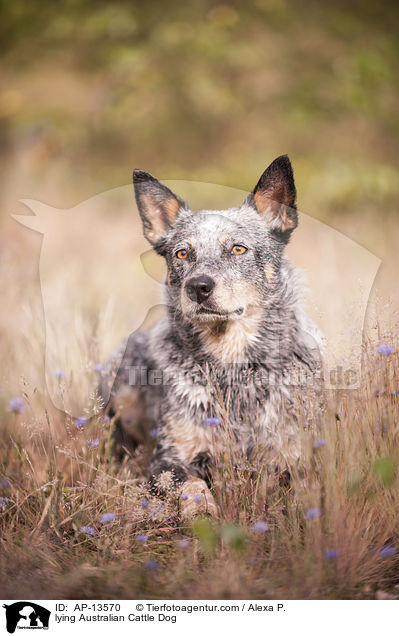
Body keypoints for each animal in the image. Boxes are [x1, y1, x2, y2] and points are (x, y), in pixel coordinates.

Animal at [101, 154, 324, 516]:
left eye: (238, 249)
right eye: (182, 253)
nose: (198, 287)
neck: (231, 368)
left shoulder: (296, 453)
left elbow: (303, 490)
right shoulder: (168, 458)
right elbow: (192, 484)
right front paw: (202, 512)